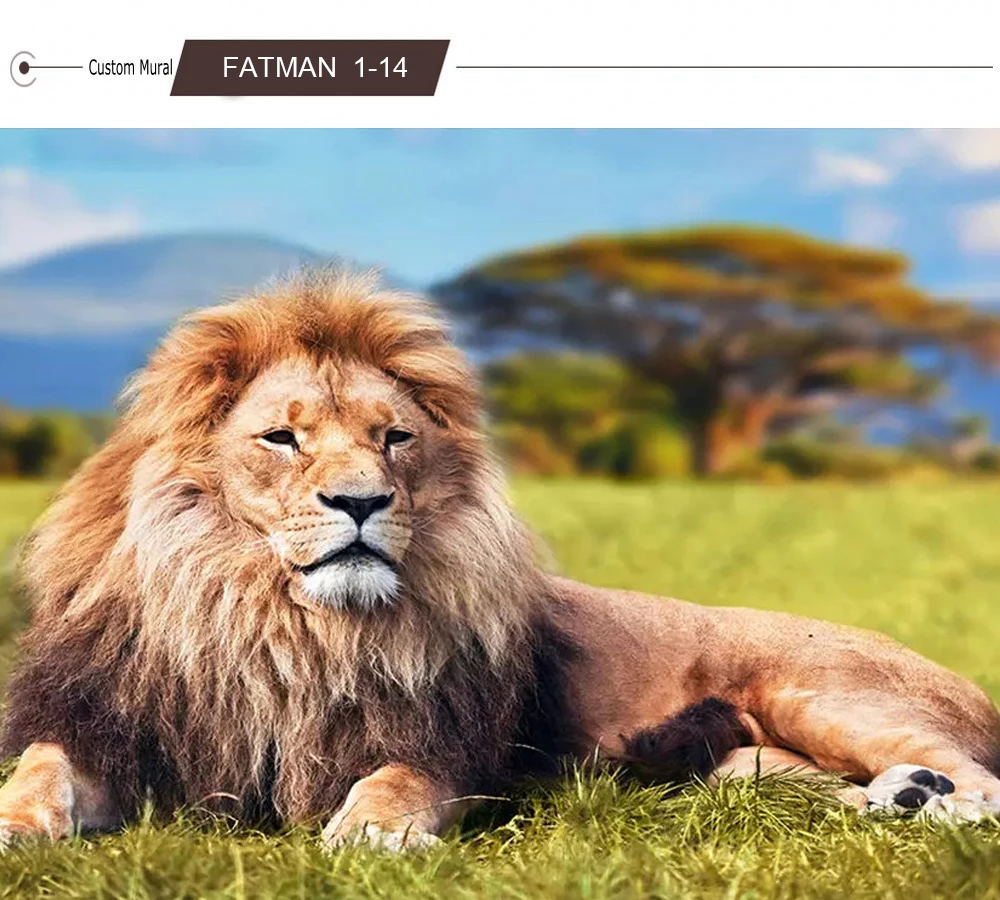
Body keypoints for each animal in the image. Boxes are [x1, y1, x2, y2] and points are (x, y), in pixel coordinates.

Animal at [1, 270, 999, 853]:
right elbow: (39, 769)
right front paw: (15, 825)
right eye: (282, 438)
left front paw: (368, 833)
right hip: (746, 765)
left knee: (981, 779)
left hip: (821, 691)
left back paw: (937, 805)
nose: (361, 502)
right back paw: (903, 800)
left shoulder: (449, 746)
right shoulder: (111, 728)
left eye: (395, 438)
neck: (279, 623)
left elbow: (398, 779)